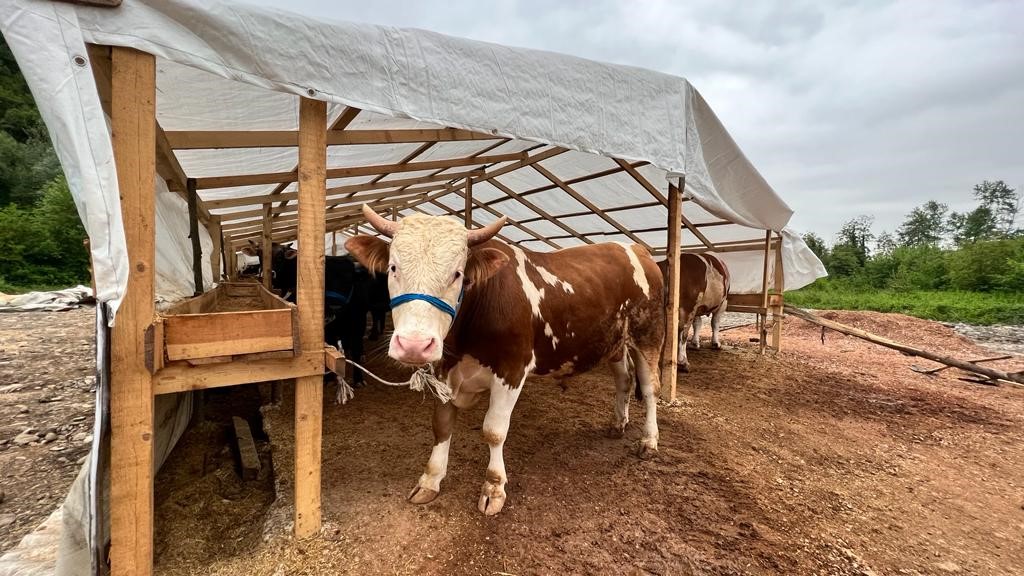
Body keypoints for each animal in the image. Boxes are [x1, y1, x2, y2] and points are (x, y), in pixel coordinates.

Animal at [344, 203, 663, 512]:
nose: (414, 345)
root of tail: (635, 248)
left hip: (648, 335)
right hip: (614, 343)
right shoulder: (443, 370)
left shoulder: (512, 370)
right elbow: (441, 425)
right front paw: (430, 480)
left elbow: (494, 431)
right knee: (623, 380)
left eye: (457, 274)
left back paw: (649, 441)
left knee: (649, 389)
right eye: (393, 268)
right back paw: (618, 424)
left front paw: (493, 487)